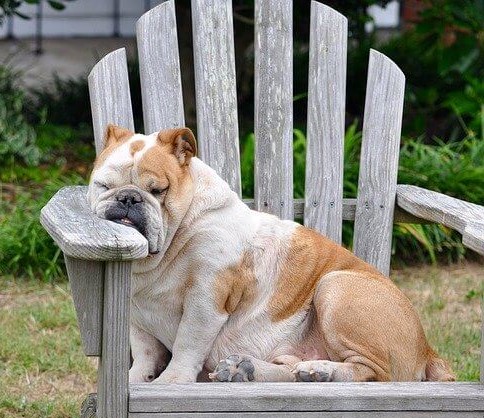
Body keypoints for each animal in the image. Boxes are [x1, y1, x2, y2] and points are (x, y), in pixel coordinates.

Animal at [89, 125, 456, 386]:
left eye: (158, 191)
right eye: (103, 186)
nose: (128, 198)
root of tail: (427, 349)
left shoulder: (206, 298)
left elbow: (186, 344)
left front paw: (172, 382)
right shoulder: (137, 314)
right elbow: (145, 350)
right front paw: (138, 378)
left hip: (335, 286)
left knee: (375, 373)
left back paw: (320, 370)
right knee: (289, 368)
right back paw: (250, 370)